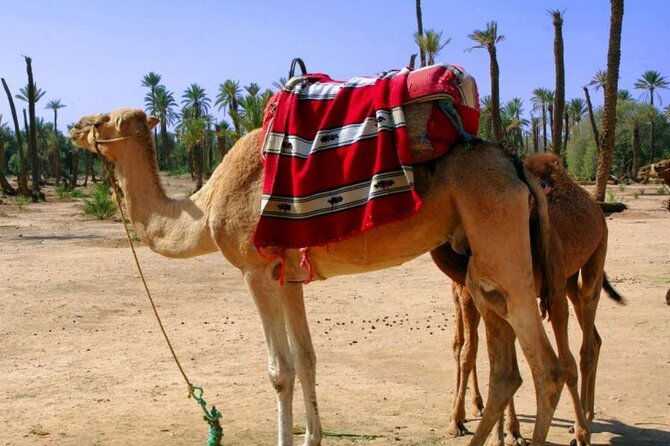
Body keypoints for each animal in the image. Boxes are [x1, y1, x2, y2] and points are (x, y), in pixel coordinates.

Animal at [72, 108, 568, 446]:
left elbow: (280, 370)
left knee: (547, 368)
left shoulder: (256, 271)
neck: (207, 205)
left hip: (501, 239)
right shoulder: (289, 277)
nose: (75, 127)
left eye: (102, 120)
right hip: (480, 259)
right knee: (507, 367)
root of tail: (516, 167)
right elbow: (308, 359)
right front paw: (313, 436)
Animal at [434, 152, 624, 444]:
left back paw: (583, 425)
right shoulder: (486, 296)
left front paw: (506, 431)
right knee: (593, 336)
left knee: (586, 340)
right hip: (567, 280)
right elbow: (475, 353)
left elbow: (561, 363)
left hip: (594, 254)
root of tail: (595, 205)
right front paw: (495, 431)